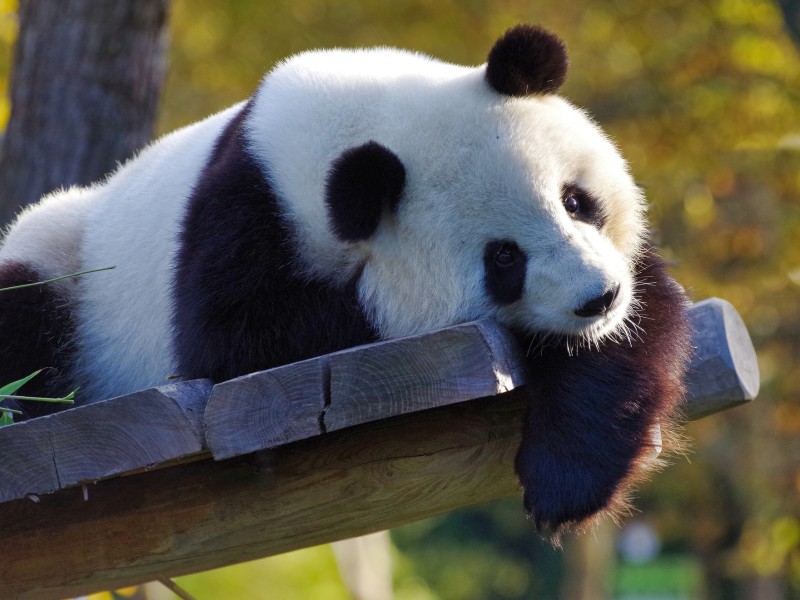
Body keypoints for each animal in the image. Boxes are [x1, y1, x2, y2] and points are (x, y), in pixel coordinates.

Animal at [0, 25, 691, 538]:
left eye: (576, 200)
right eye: (503, 259)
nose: (598, 297)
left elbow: (639, 322)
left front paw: (565, 483)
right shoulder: (239, 225)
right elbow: (238, 344)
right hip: (65, 260)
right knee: (26, 312)